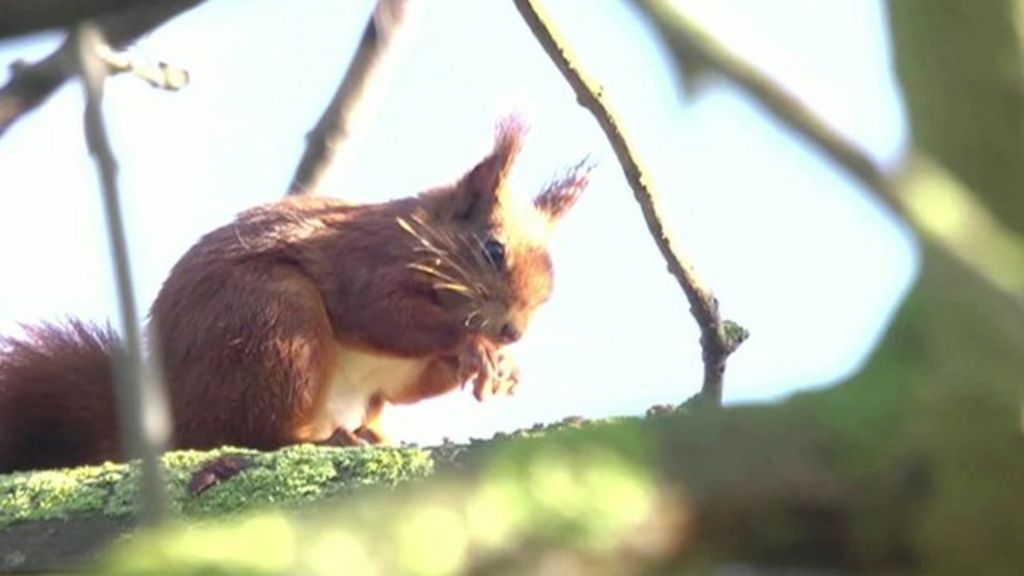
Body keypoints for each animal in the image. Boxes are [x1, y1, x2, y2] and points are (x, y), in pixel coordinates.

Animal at [0, 117, 593, 471]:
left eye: (549, 294)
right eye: (493, 250)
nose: (513, 331)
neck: (420, 234)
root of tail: (174, 417)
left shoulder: (397, 375)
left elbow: (412, 384)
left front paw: (501, 367)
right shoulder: (367, 261)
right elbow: (381, 314)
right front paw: (473, 346)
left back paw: (372, 436)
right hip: (275, 324)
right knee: (259, 432)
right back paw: (320, 439)